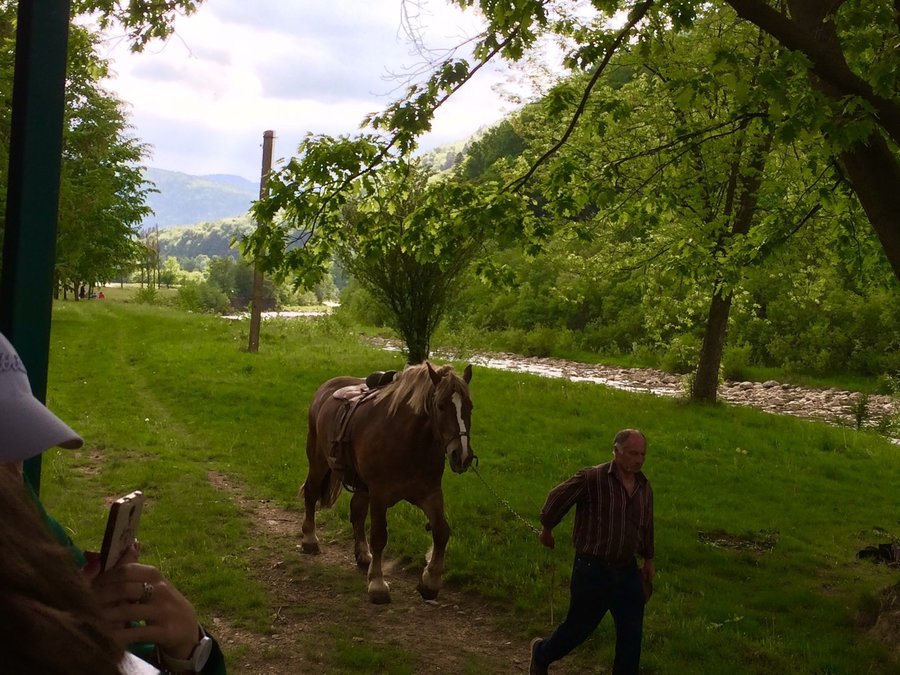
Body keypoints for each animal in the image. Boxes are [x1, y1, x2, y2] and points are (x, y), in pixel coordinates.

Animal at [300, 362, 474, 604]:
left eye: (470, 407)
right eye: (440, 406)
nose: (462, 455)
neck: (408, 441)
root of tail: (326, 388)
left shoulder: (430, 493)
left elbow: (441, 531)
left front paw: (430, 581)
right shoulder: (379, 495)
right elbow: (379, 536)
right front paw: (377, 584)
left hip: (361, 485)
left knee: (357, 511)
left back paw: (363, 555)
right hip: (318, 462)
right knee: (311, 493)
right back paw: (310, 539)